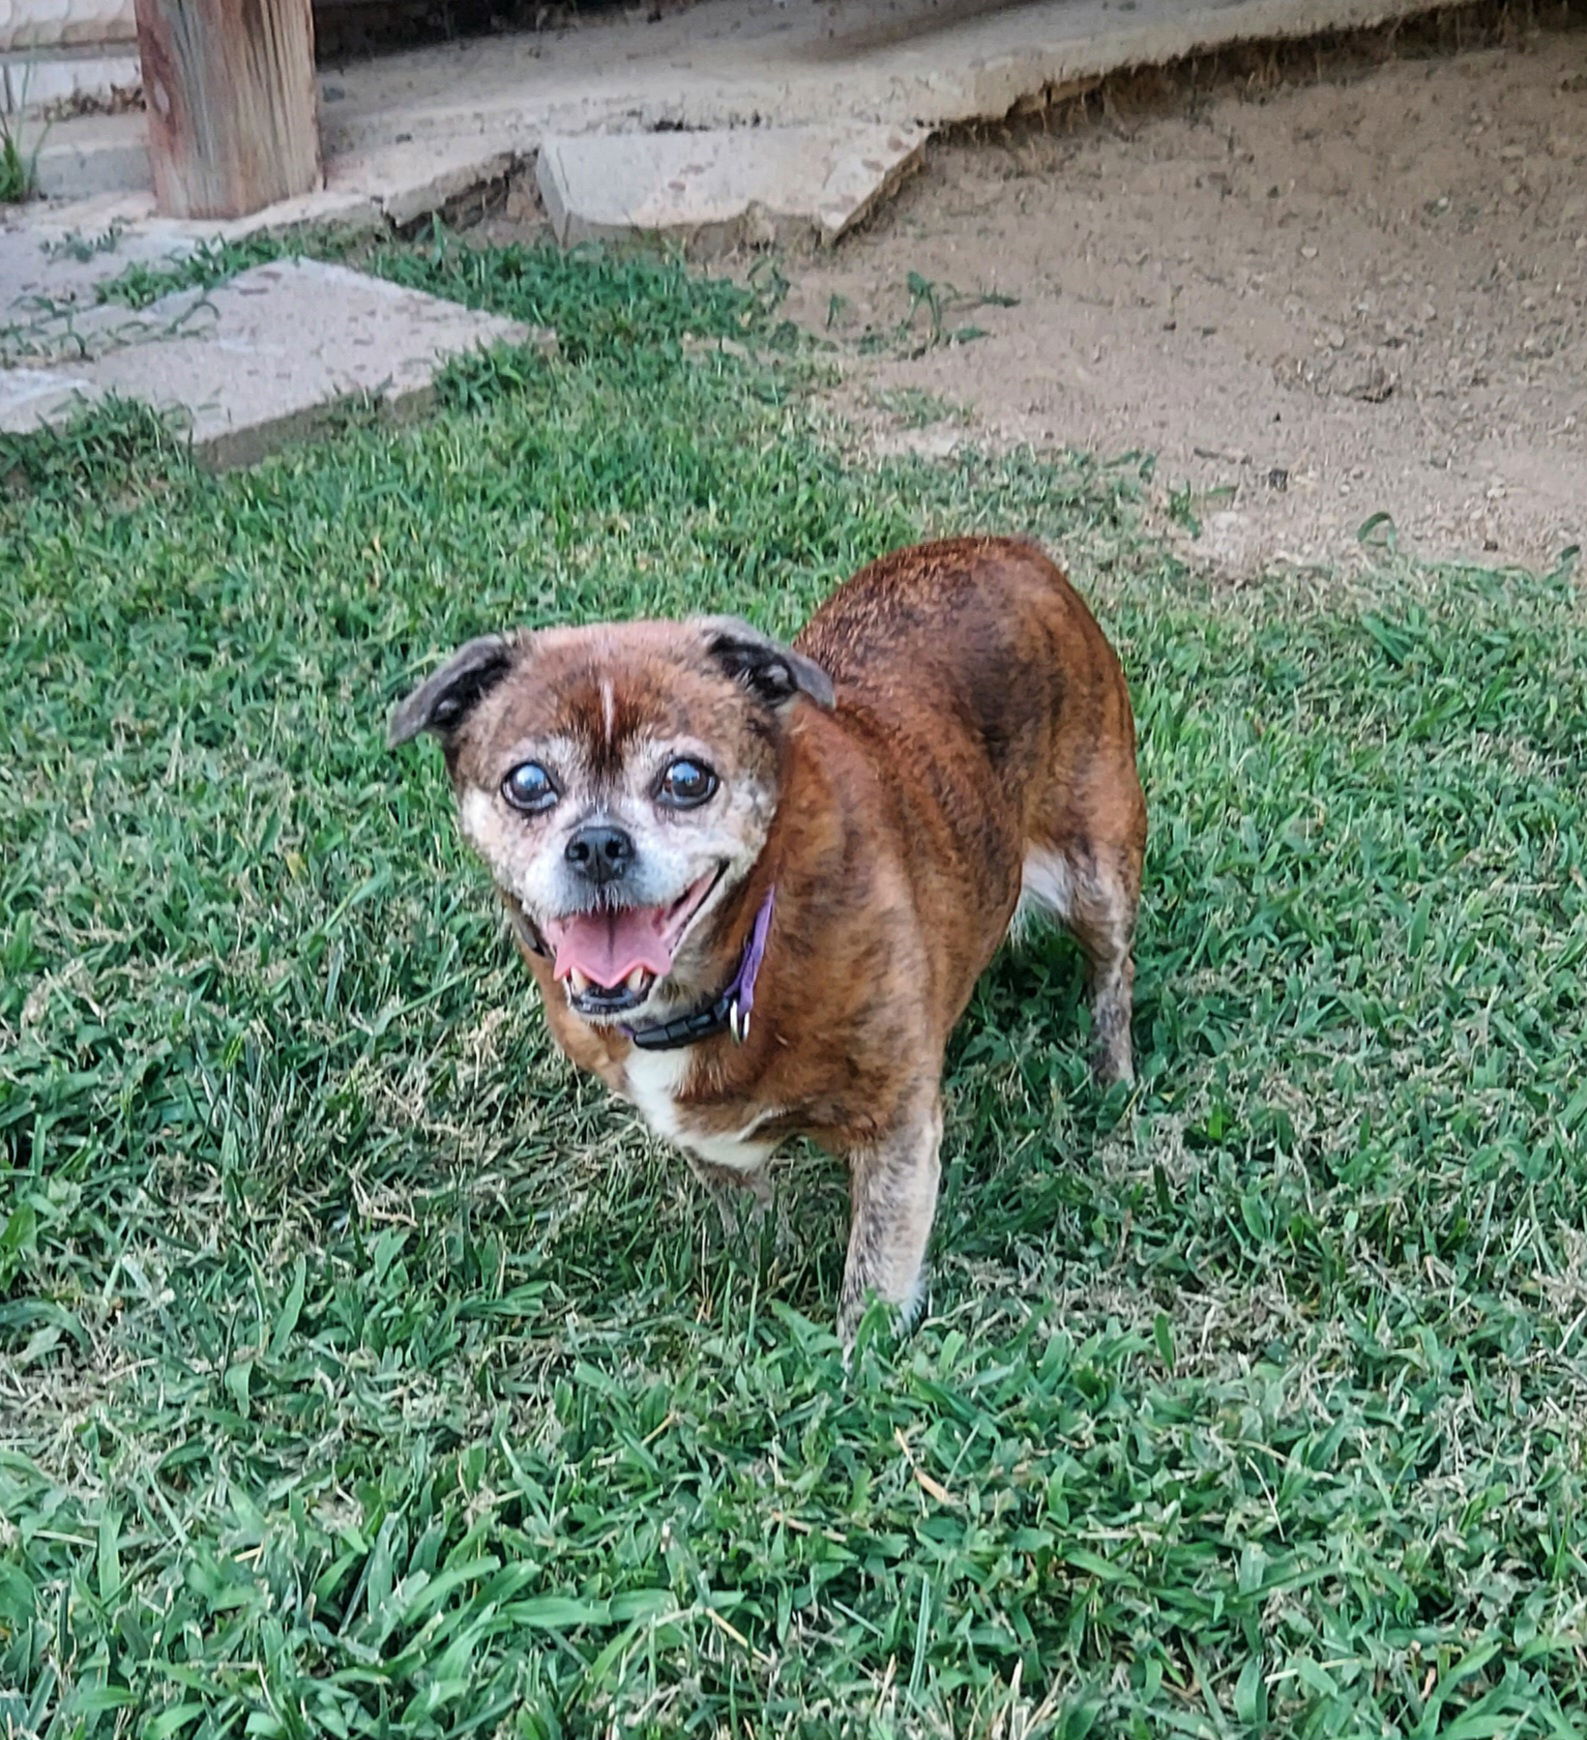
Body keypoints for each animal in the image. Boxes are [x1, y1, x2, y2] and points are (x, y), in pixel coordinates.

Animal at [389, 535, 1148, 1336]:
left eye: (686, 778)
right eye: (528, 784)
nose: (597, 845)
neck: (743, 954)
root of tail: (1009, 548)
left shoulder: (897, 1132)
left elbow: (874, 1277)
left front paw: (854, 1356)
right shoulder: (710, 1139)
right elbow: (747, 1213)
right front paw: (763, 1274)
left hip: (1097, 869)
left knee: (1113, 973)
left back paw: (1112, 1075)